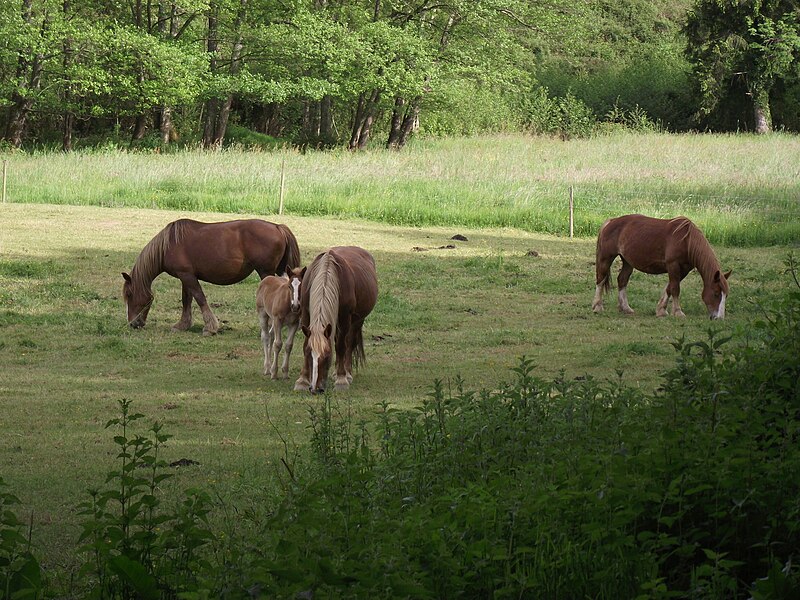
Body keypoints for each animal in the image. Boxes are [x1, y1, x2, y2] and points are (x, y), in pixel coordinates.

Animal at [122, 218, 300, 336]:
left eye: (129, 295)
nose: (133, 323)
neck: (169, 244)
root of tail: (278, 227)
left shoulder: (187, 276)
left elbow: (200, 298)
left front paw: (210, 327)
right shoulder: (185, 277)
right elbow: (187, 300)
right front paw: (182, 325)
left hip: (266, 272)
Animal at [294, 245, 378, 394]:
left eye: (327, 355)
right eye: (309, 354)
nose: (315, 388)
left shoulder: (344, 317)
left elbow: (341, 346)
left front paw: (341, 379)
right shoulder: (305, 312)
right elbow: (305, 343)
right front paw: (302, 380)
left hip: (357, 321)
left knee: (349, 343)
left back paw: (347, 373)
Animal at [592, 214, 732, 318]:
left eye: (726, 295)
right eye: (716, 293)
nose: (719, 318)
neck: (686, 241)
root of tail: (610, 222)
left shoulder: (684, 270)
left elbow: (669, 287)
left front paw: (661, 310)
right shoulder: (673, 265)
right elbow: (675, 288)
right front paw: (678, 312)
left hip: (627, 262)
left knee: (622, 280)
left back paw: (625, 308)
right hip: (606, 258)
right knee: (601, 279)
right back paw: (597, 307)